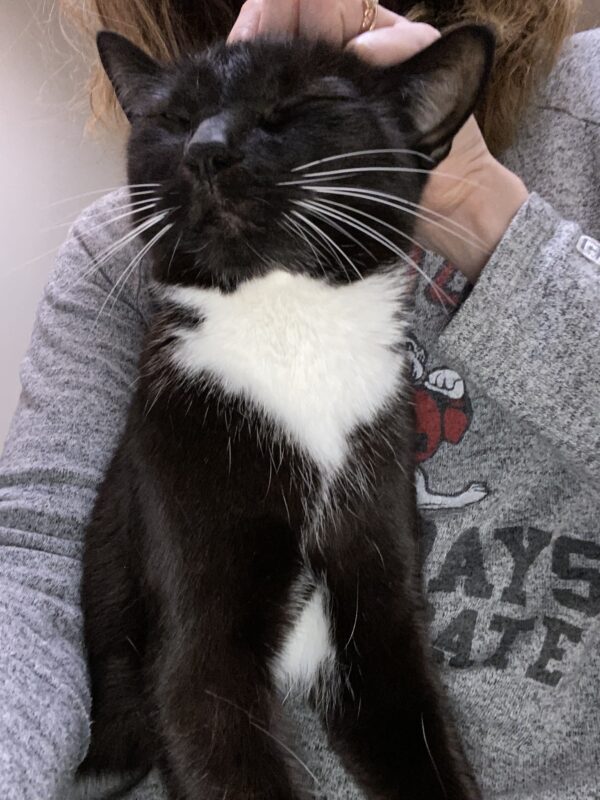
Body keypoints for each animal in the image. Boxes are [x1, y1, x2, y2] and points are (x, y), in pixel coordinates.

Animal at [78, 25, 492, 800]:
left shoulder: (383, 615)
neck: (287, 327)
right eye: (172, 117)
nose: (204, 147)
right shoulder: (194, 659)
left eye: (302, 105)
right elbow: (205, 718)